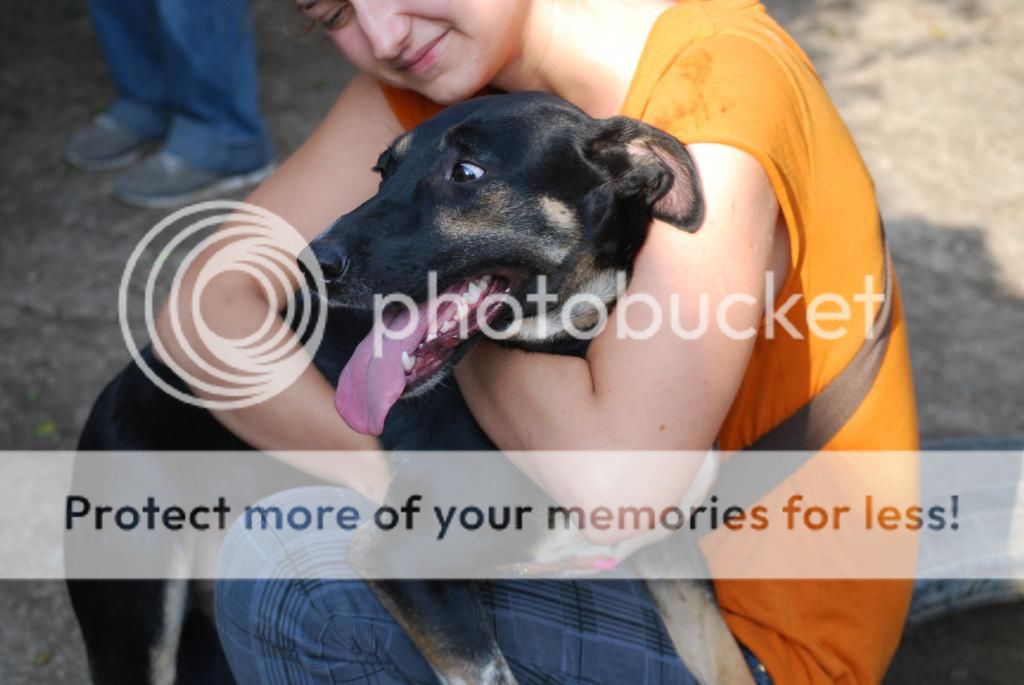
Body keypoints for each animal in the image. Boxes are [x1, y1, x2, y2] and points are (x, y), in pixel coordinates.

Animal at [64, 92, 753, 683]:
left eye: (467, 171)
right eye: (382, 171)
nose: (310, 263)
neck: (564, 356)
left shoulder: (673, 558)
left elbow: (727, 665)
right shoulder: (400, 560)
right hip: (135, 618)